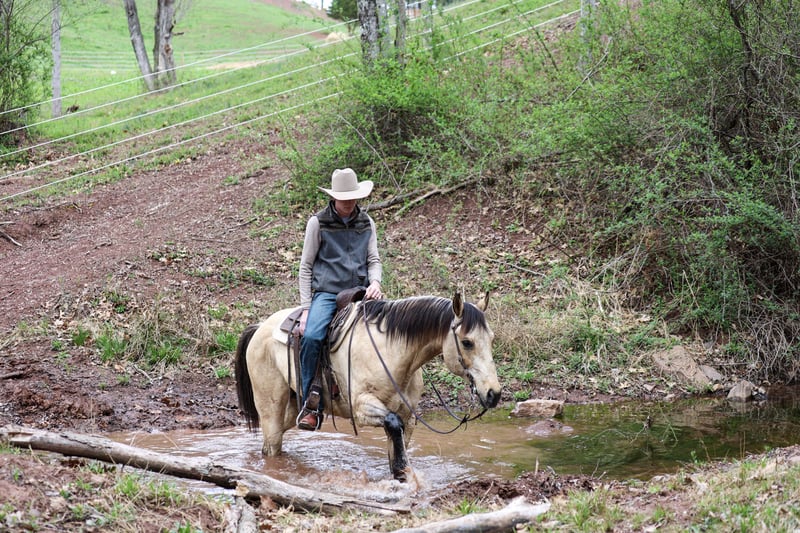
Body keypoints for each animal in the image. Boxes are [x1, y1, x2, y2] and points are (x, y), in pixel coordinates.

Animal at [234, 291, 502, 481]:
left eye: (491, 339)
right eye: (467, 342)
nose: (494, 394)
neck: (391, 352)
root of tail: (260, 327)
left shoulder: (409, 418)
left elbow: (398, 446)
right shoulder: (363, 409)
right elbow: (393, 424)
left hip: (290, 410)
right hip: (271, 407)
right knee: (271, 446)